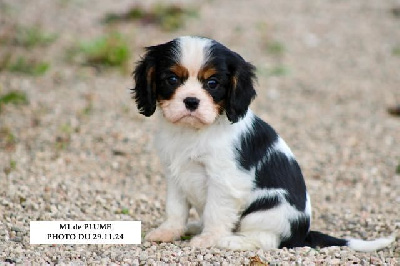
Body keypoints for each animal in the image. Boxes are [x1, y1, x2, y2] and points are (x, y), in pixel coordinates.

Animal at [133, 35, 396, 251]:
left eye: (212, 83)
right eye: (172, 79)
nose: (191, 101)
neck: (193, 132)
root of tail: (303, 234)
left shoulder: (224, 181)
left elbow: (217, 213)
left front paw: (208, 240)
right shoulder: (175, 175)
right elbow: (176, 209)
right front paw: (168, 232)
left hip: (268, 209)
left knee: (267, 241)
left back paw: (231, 240)